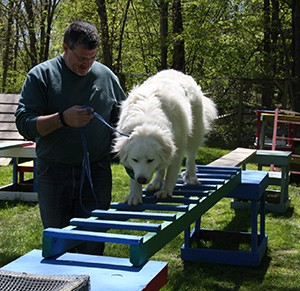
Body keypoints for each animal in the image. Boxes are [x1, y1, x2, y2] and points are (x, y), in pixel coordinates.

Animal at [113, 69, 217, 206]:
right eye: (135, 160)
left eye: (150, 160)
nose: (141, 179)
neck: (147, 123)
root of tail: (176, 72)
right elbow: (135, 176)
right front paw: (134, 195)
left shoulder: (177, 148)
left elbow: (171, 174)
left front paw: (165, 191)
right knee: (162, 168)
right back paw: (156, 183)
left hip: (195, 133)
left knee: (191, 158)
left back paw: (191, 177)